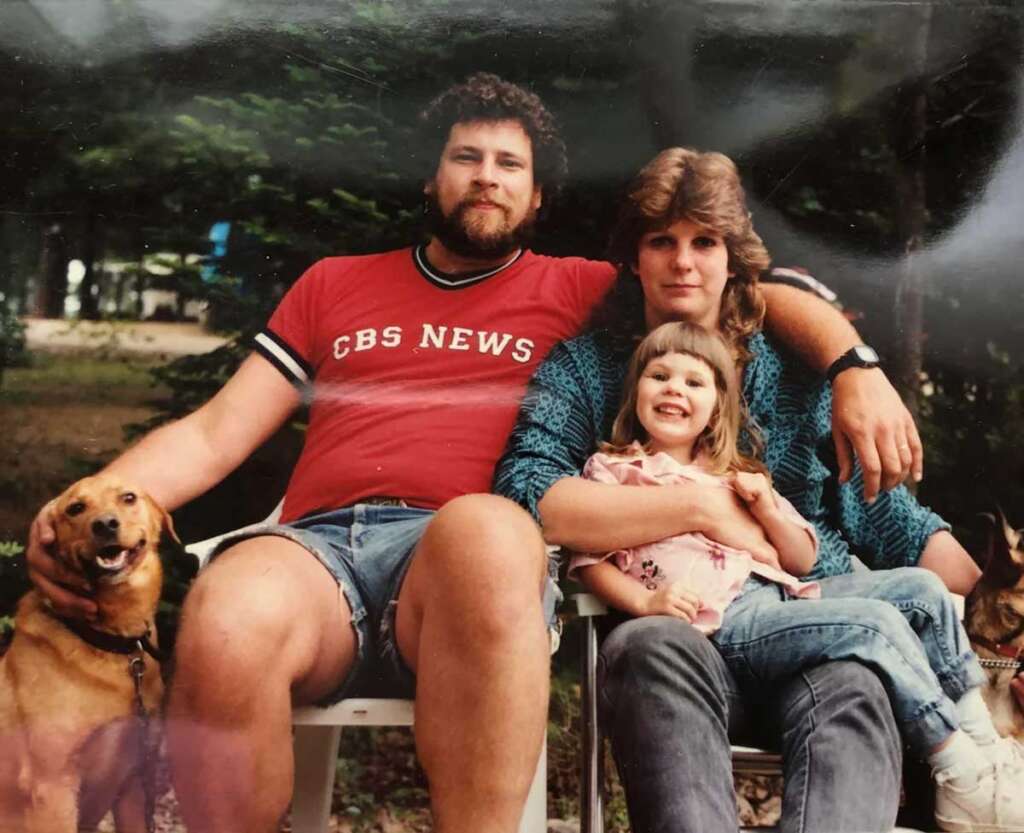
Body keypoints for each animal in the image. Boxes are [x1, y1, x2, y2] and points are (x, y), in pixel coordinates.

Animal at [0, 475, 175, 831]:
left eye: (129, 497)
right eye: (76, 508)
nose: (105, 524)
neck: (112, 646)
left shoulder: (135, 781)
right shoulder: (52, 787)